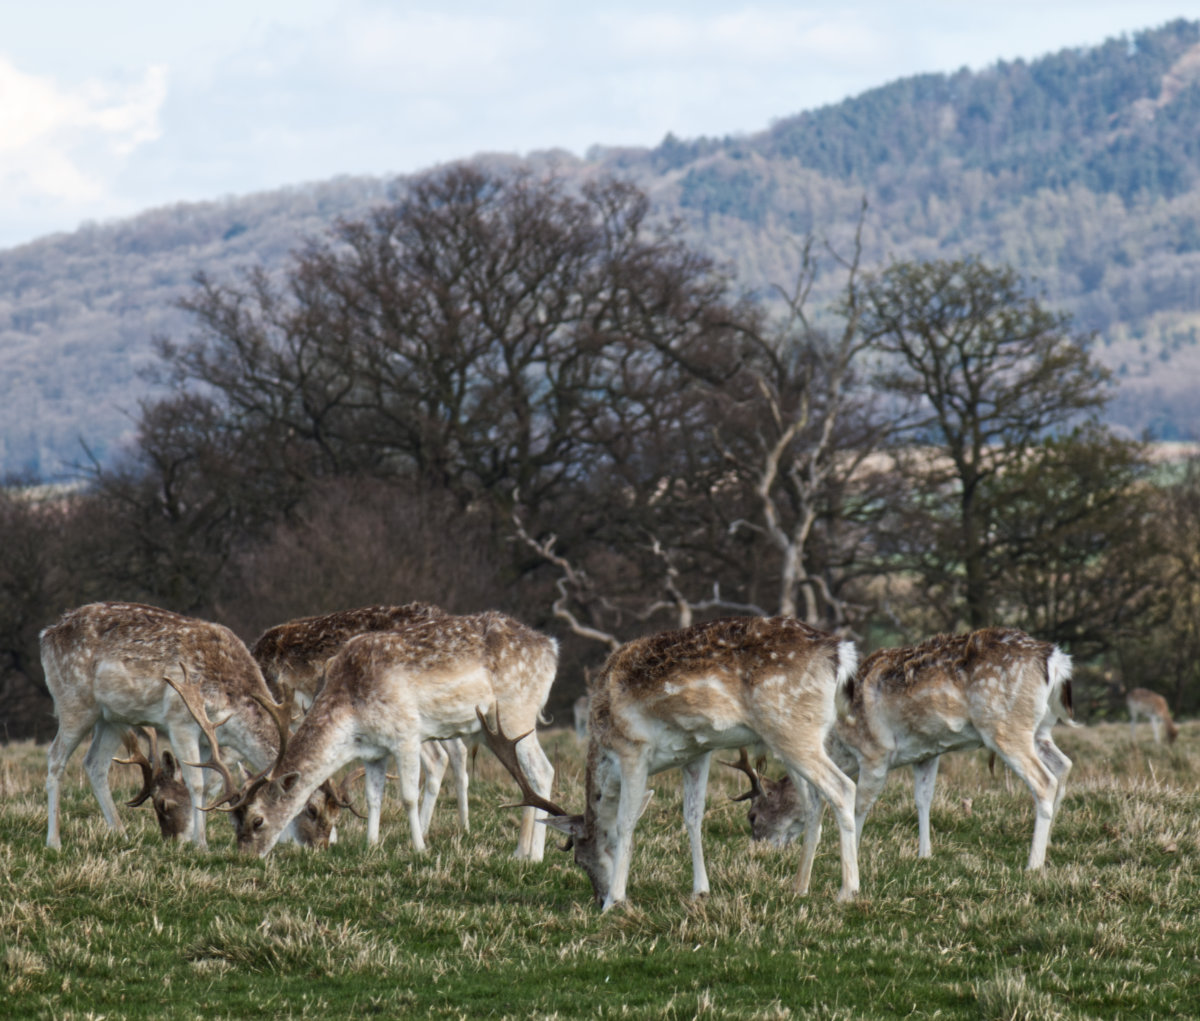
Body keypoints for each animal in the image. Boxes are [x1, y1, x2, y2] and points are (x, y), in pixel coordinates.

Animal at [38, 602, 348, 849]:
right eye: (310, 809)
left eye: (336, 814)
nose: (321, 846)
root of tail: (46, 635)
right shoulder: (181, 721)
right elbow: (196, 783)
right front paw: (201, 844)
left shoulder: (210, 738)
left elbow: (210, 784)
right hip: (74, 703)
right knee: (55, 758)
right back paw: (54, 841)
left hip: (112, 717)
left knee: (95, 764)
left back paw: (121, 834)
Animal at [477, 614, 864, 911]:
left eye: (579, 858)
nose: (597, 897)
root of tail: (840, 654)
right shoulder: (696, 753)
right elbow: (692, 817)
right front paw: (700, 890)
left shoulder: (633, 749)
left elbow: (625, 823)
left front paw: (616, 900)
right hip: (795, 736)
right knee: (813, 802)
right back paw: (799, 887)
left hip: (790, 728)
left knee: (843, 788)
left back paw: (848, 892)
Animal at [720, 628, 1080, 868]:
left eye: (752, 816)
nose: (758, 848)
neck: (839, 741)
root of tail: (1056, 660)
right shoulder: (928, 752)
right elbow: (923, 799)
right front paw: (924, 854)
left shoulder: (874, 752)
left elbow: (859, 804)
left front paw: (849, 857)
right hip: (1041, 729)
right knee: (1064, 765)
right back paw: (1048, 849)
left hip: (1006, 726)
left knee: (1044, 780)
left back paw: (1033, 864)